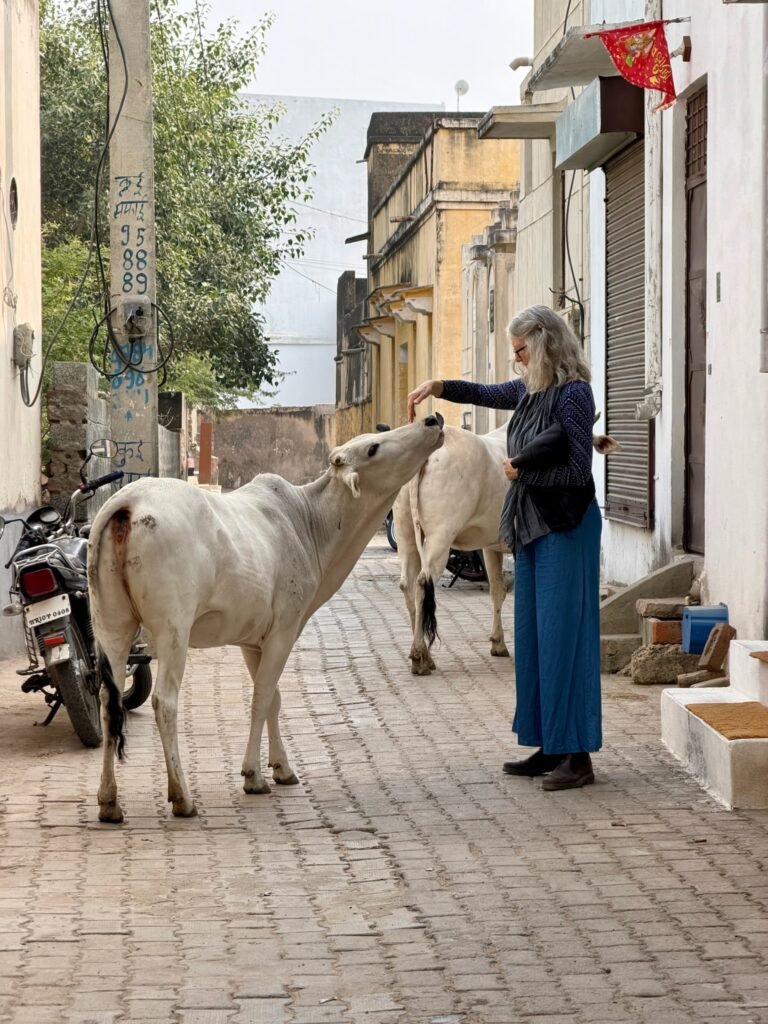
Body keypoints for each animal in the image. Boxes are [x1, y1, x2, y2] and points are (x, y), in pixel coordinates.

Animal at [88, 415, 445, 823]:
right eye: (373, 448)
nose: (431, 419)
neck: (309, 524)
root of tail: (126, 504)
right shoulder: (284, 629)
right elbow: (261, 697)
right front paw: (253, 775)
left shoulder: (252, 639)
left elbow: (273, 697)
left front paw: (282, 768)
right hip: (172, 629)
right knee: (165, 701)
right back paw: (182, 796)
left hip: (111, 626)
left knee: (107, 700)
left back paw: (109, 801)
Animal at [395, 420, 618, 675]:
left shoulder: (491, 547)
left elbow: (497, 591)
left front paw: (498, 642)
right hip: (440, 537)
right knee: (423, 583)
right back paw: (419, 655)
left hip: (405, 532)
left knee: (407, 584)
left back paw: (425, 655)